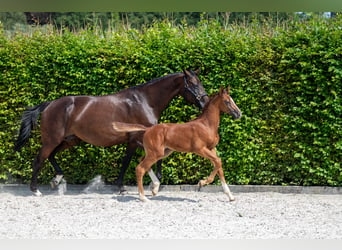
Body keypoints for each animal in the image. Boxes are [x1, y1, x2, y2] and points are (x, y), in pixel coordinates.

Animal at [14, 69, 208, 196]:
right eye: (192, 84)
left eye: (200, 82)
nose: (205, 102)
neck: (145, 101)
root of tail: (49, 104)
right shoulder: (135, 140)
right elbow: (130, 162)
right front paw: (129, 187)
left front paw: (152, 184)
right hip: (52, 140)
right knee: (39, 159)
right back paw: (36, 190)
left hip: (69, 140)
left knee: (51, 156)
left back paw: (56, 180)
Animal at [112, 87, 240, 202]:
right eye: (227, 101)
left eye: (232, 100)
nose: (239, 113)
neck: (206, 125)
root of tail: (147, 129)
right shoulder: (200, 149)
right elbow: (218, 161)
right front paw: (201, 183)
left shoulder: (212, 149)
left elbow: (219, 166)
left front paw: (230, 196)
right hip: (156, 153)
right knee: (140, 168)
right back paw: (143, 197)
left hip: (161, 152)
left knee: (142, 160)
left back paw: (155, 188)